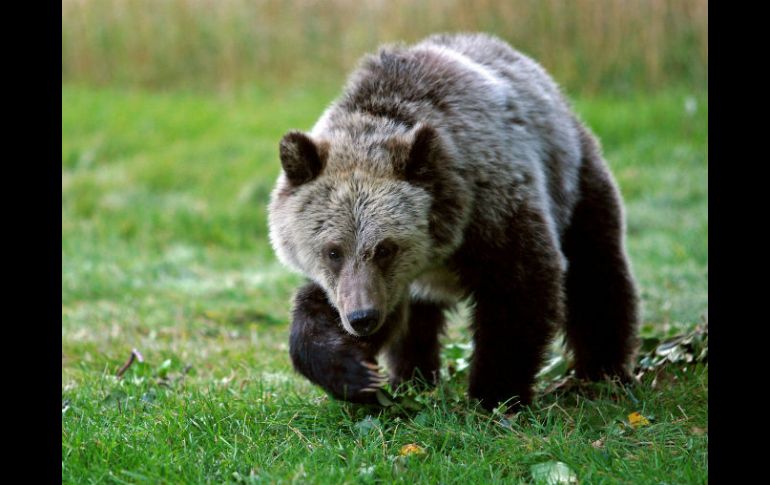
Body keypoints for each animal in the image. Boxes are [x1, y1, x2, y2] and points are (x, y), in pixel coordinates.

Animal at [266, 33, 636, 408]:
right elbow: (328, 308)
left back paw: (601, 372)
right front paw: (352, 370)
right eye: (332, 251)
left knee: (596, 274)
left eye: (385, 248)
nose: (362, 318)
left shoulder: (496, 209)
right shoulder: (379, 283)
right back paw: (411, 377)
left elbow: (520, 291)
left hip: (573, 182)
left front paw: (494, 395)